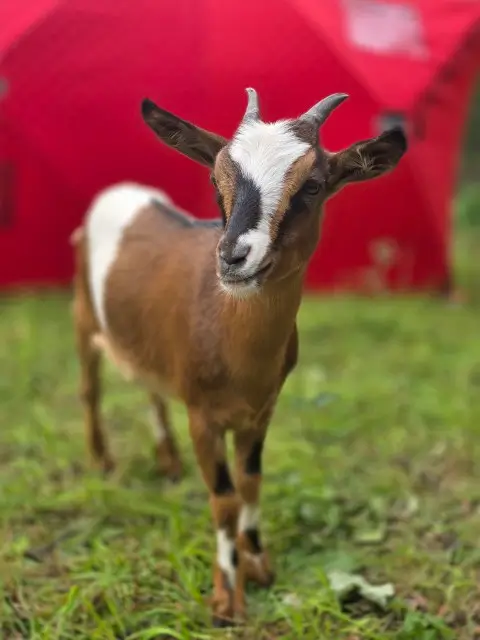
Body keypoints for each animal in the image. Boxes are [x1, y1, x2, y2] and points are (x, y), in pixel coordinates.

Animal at [71, 88, 406, 626]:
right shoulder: (202, 416)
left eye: (313, 185)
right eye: (215, 178)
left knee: (149, 387)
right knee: (90, 387)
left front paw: (260, 565)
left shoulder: (261, 411)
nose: (233, 257)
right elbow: (225, 499)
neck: (235, 343)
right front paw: (227, 599)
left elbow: (251, 483)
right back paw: (102, 461)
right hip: (82, 314)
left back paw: (168, 462)